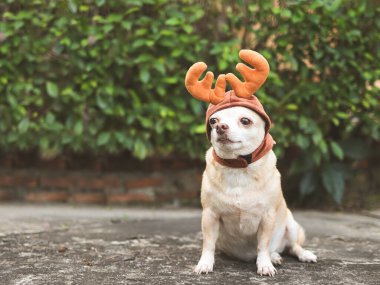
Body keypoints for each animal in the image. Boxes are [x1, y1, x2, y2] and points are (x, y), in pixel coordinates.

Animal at [186, 50, 316, 276]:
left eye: (245, 121)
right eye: (213, 121)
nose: (220, 126)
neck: (238, 166)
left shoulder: (267, 218)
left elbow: (263, 245)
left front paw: (264, 265)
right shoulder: (210, 216)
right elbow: (208, 244)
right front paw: (205, 263)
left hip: (291, 225)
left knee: (292, 246)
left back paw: (296, 255)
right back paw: (276, 256)